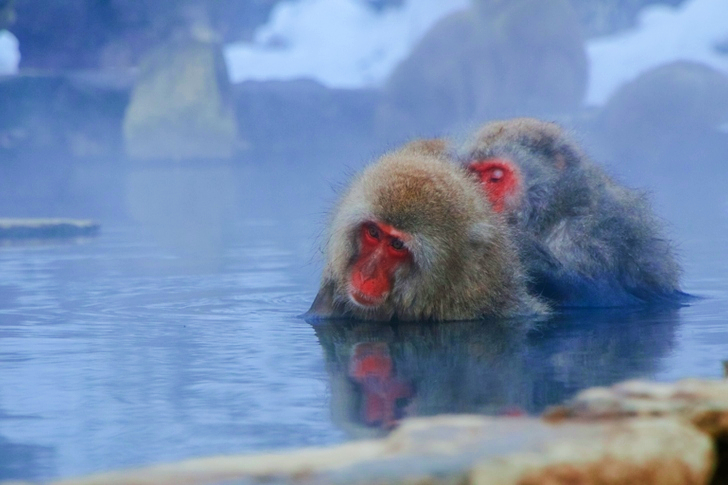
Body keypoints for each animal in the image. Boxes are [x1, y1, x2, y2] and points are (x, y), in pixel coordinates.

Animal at [459, 117, 687, 307]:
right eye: (474, 175)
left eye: (496, 176)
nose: (479, 198)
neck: (554, 210)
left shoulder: (592, 234)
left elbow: (604, 296)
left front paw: (526, 252)